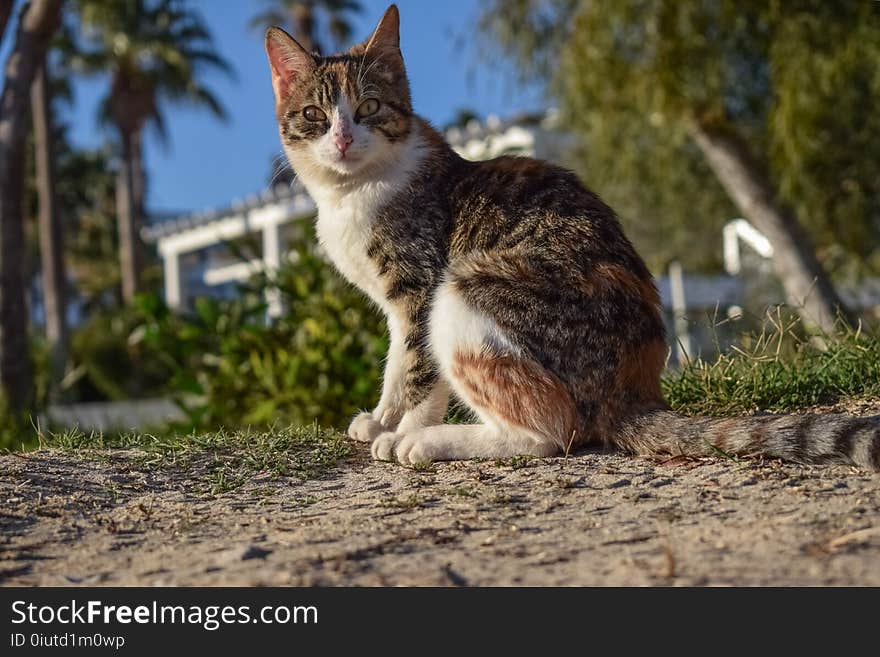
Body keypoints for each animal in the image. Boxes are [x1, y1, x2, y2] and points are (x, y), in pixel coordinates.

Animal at [266, 3, 880, 466]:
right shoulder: (396, 307)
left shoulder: (418, 286)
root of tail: (634, 391)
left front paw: (403, 427)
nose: (343, 138)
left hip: (465, 290)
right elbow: (397, 363)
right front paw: (380, 418)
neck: (352, 194)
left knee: (550, 433)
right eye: (315, 115)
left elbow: (419, 368)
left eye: (369, 107)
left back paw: (431, 442)